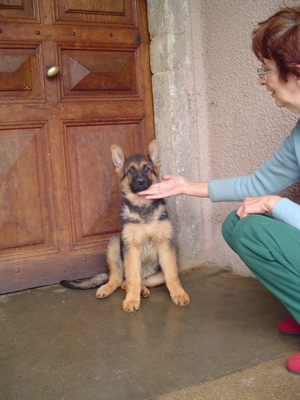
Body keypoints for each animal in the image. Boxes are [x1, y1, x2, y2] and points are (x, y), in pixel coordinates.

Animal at [60, 141, 190, 312]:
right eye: (131, 171)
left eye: (147, 169)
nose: (140, 181)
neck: (142, 207)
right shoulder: (131, 247)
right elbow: (133, 279)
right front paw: (131, 300)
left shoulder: (165, 245)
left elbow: (172, 275)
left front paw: (178, 294)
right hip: (115, 245)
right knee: (120, 280)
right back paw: (108, 289)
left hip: (155, 276)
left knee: (134, 281)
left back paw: (143, 291)